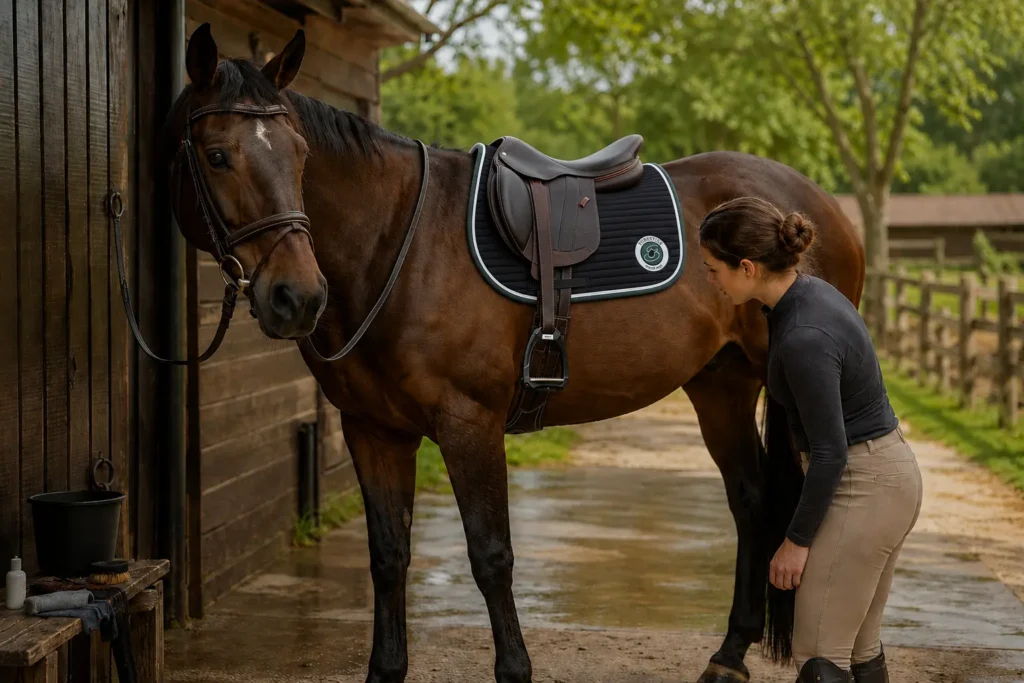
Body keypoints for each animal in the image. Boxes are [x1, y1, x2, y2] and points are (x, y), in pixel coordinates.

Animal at [158, 23, 865, 683]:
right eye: (216, 155)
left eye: (302, 156)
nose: (297, 296)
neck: (399, 244)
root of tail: (813, 210)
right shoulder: (373, 431)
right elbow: (388, 557)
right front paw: (386, 667)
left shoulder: (469, 425)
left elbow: (491, 555)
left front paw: (515, 668)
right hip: (721, 386)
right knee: (752, 501)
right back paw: (729, 655)